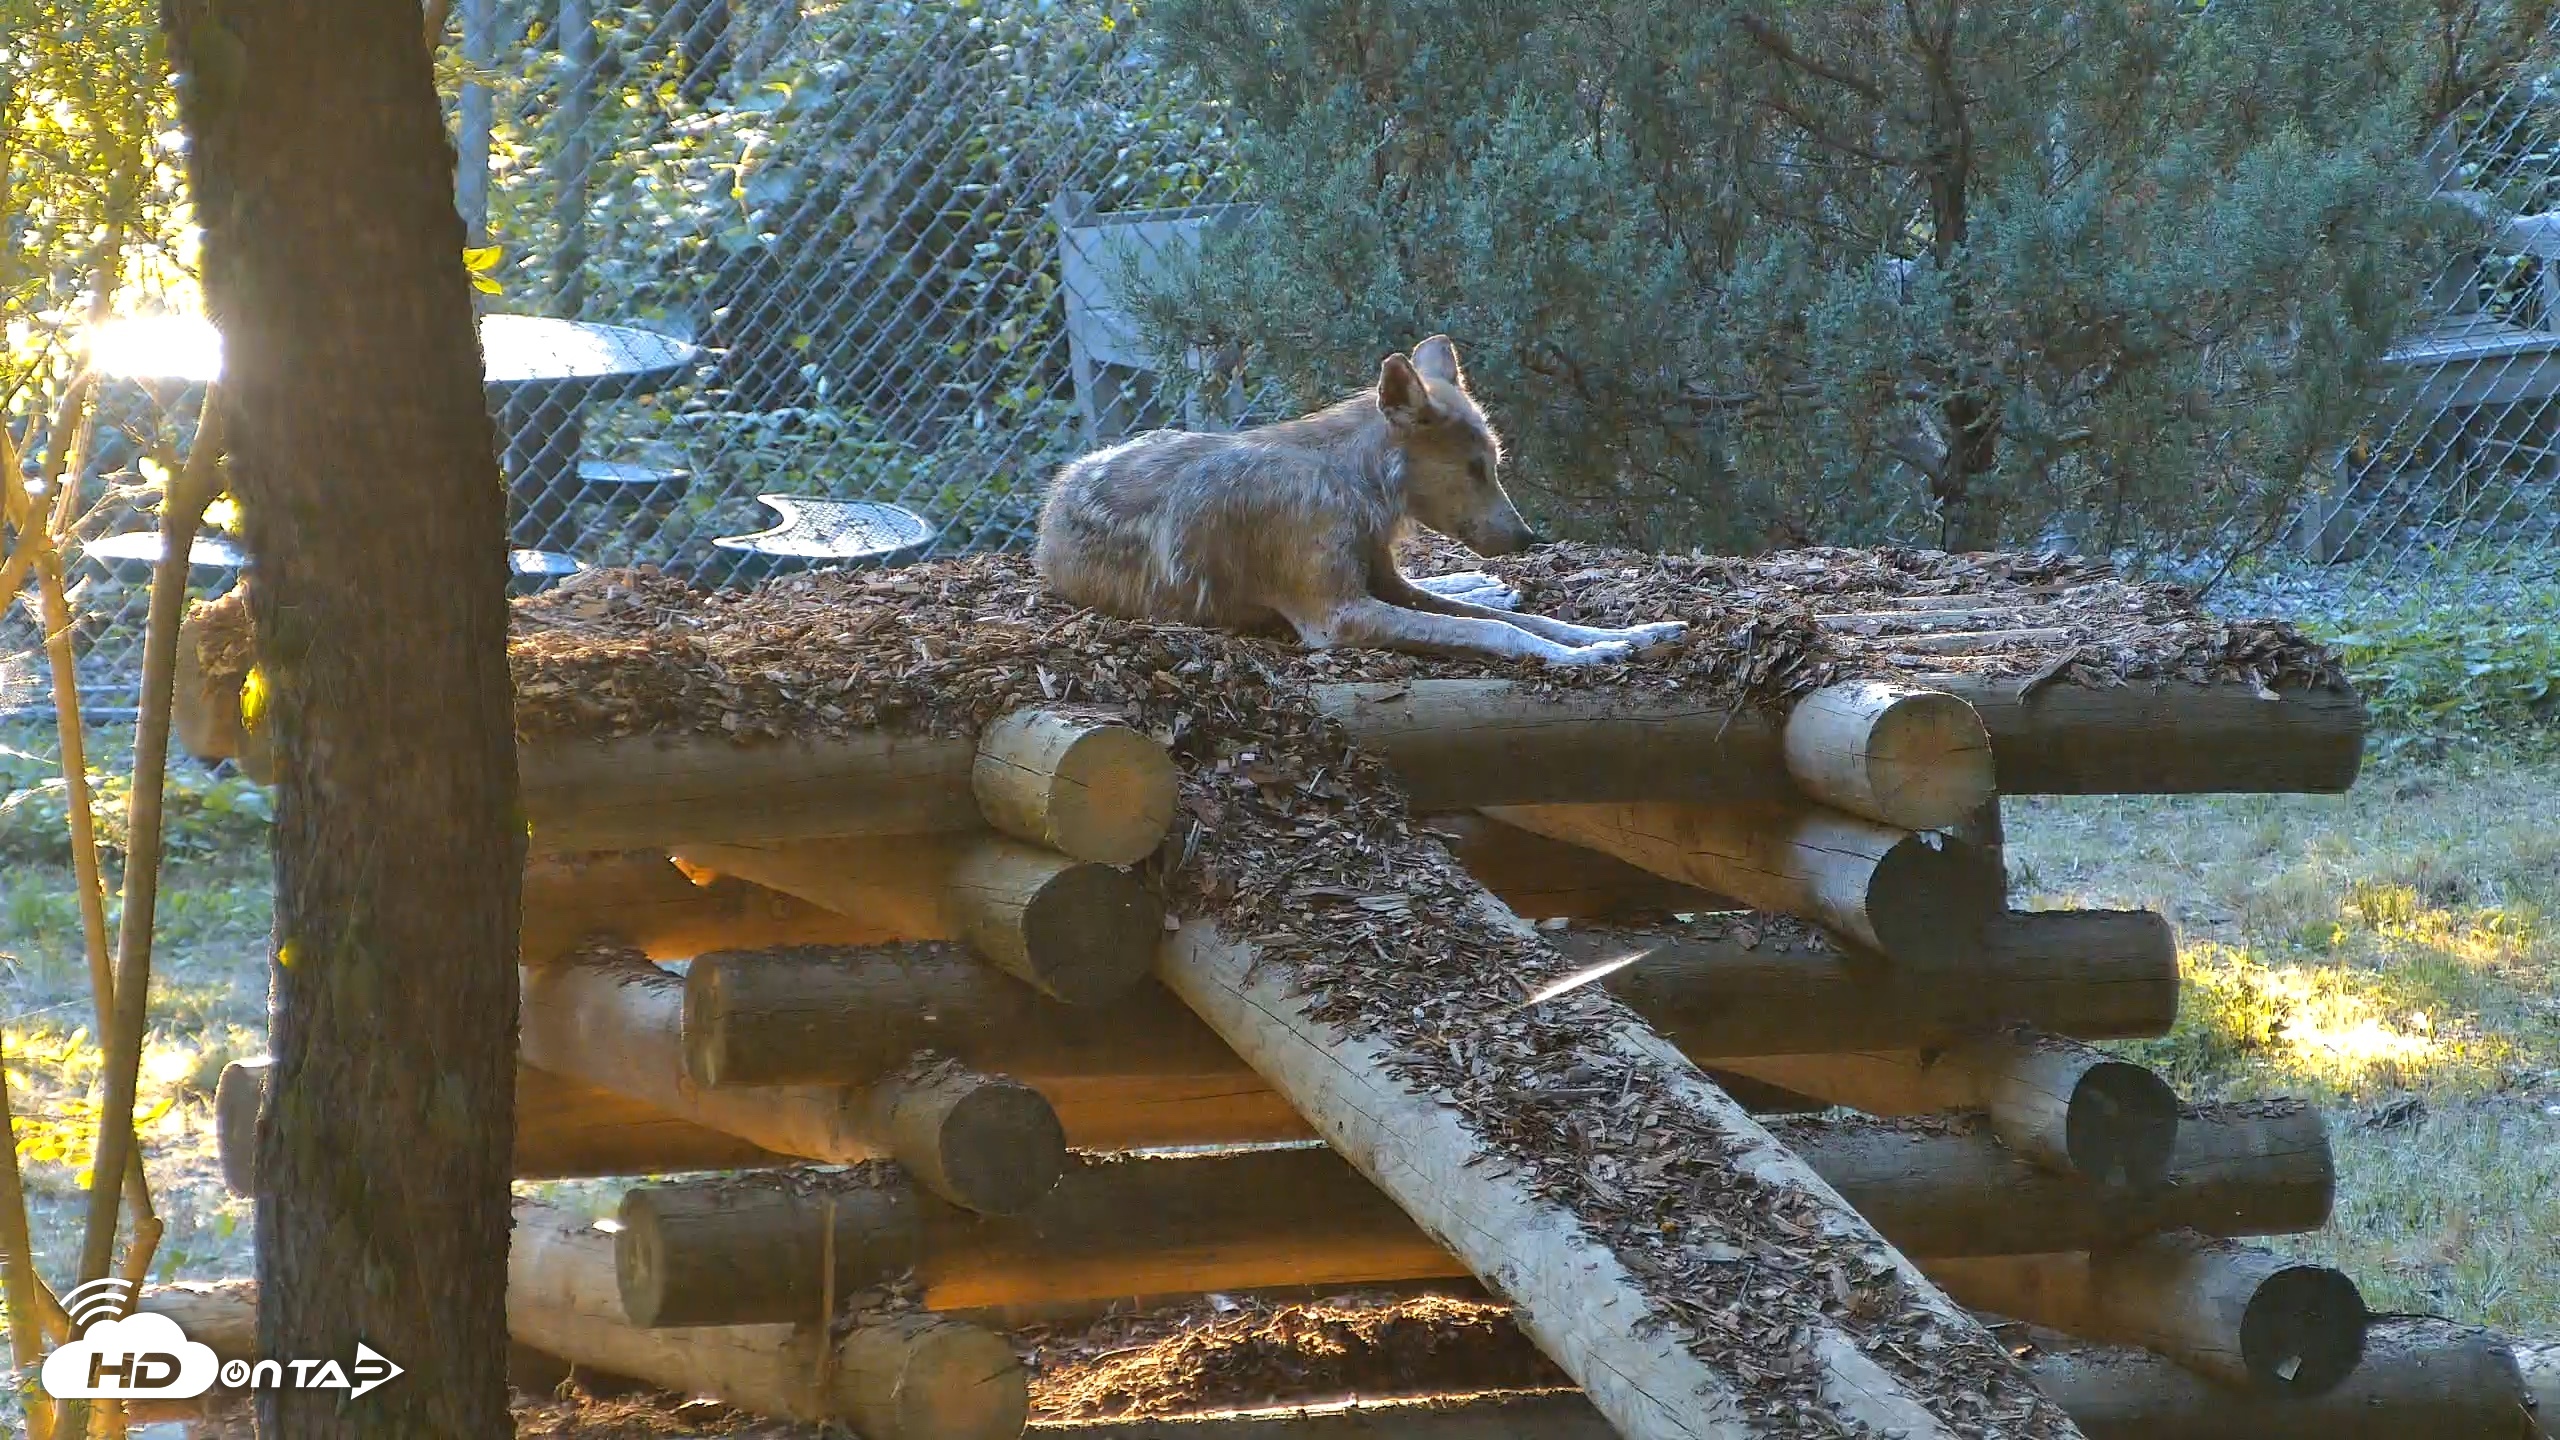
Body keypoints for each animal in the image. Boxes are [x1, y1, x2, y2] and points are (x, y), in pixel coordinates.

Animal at [1033, 335, 1686, 665]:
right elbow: (1499, 633)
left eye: (1494, 464)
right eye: (1475, 468)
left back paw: (1485, 583)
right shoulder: (1338, 617)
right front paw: (1590, 655)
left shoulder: (1383, 582)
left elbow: (1528, 619)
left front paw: (1635, 633)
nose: (1528, 539)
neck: (1352, 486)